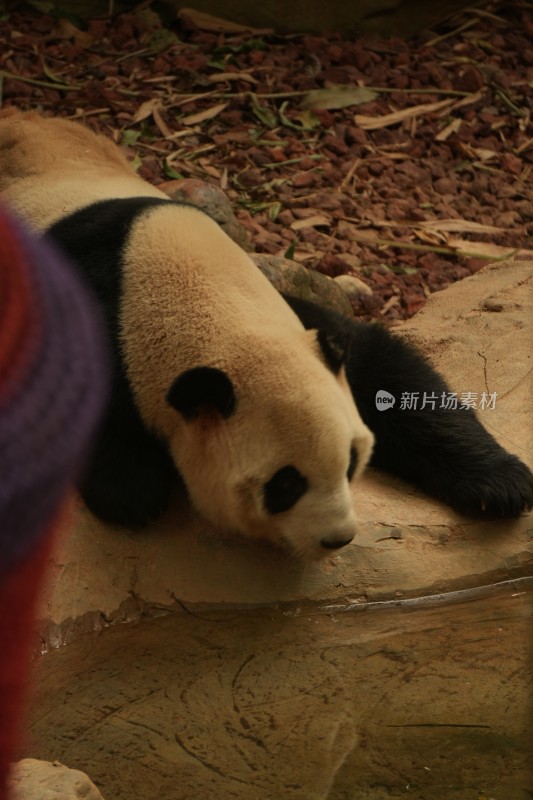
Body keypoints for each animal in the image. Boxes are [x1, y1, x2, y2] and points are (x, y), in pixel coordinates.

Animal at [1, 111, 532, 556]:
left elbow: (388, 371)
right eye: (285, 484)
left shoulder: (291, 318)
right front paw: (133, 487)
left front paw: (501, 485)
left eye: (352, 460)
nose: (337, 539)